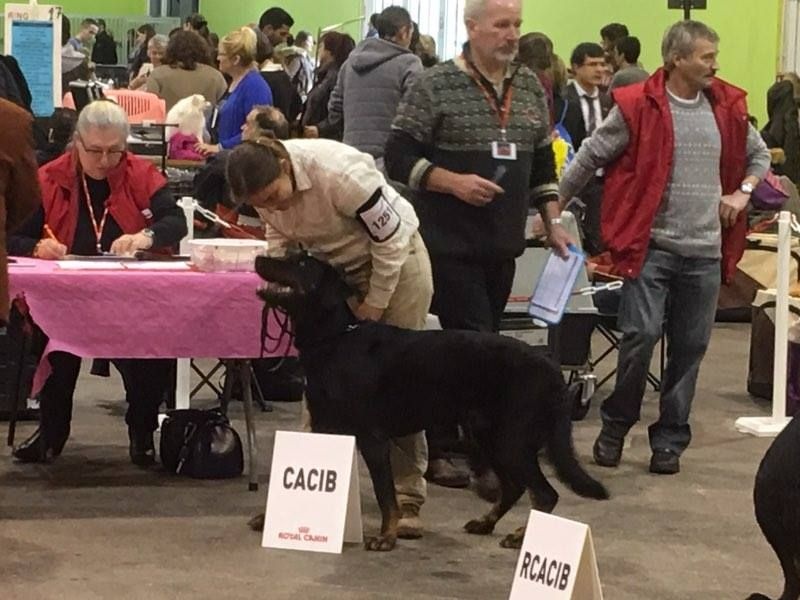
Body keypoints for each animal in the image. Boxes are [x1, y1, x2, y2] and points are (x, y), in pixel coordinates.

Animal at [253, 253, 608, 551]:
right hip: (487, 435)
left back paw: (520, 536)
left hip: (511, 438)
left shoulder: (372, 437)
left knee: (544, 493)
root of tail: (551, 370)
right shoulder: (323, 429)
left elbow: (385, 494)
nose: (259, 258)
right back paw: (486, 523)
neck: (335, 338)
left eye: (301, 263)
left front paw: (386, 536)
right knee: (515, 487)